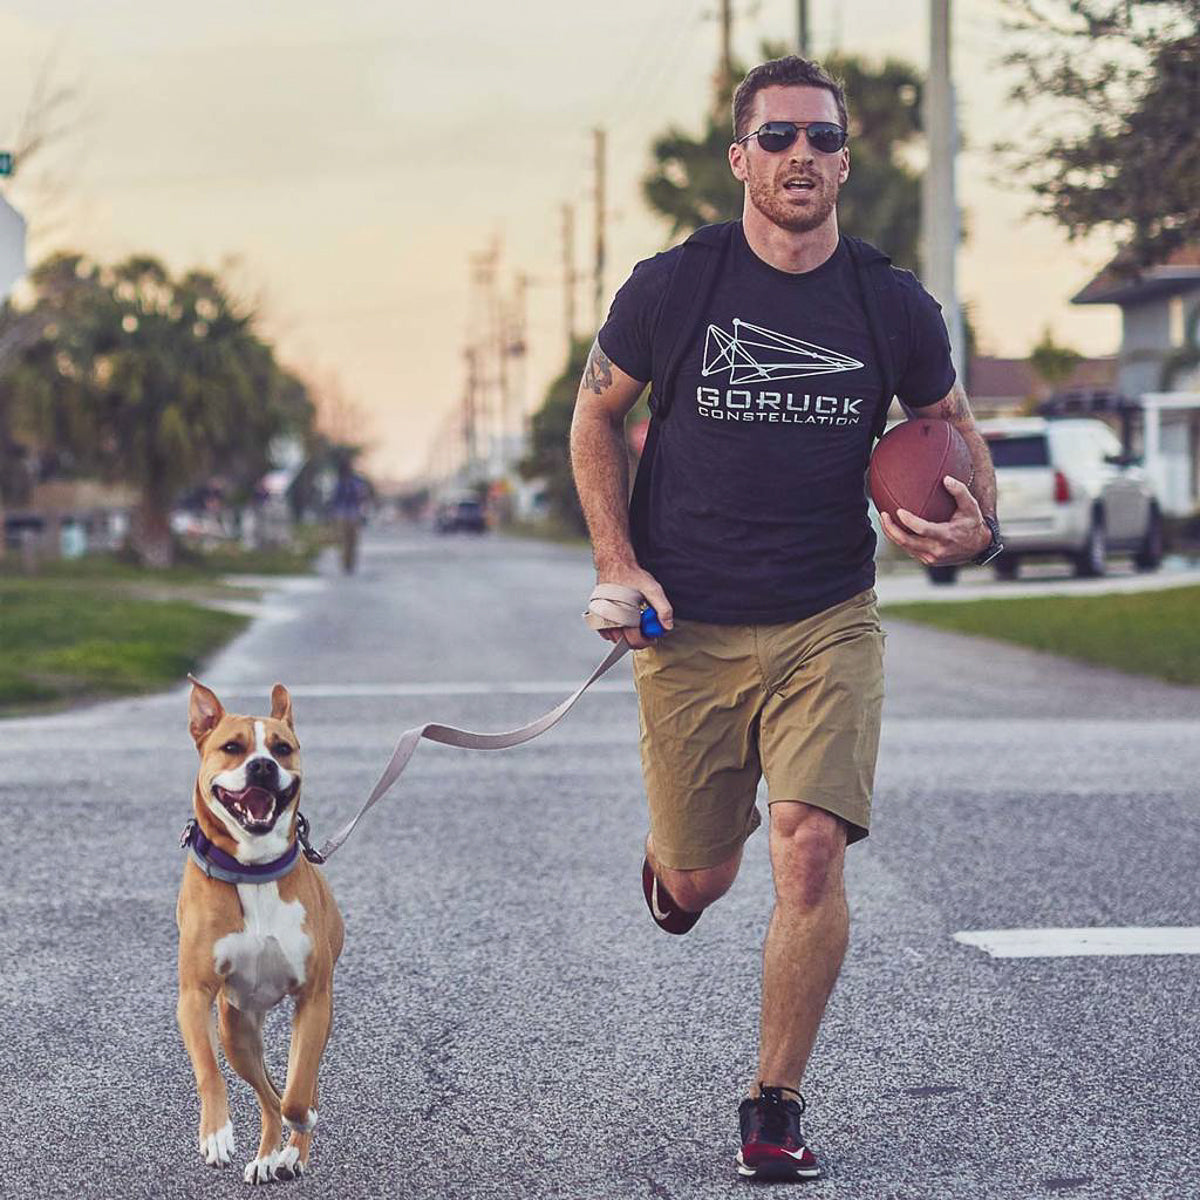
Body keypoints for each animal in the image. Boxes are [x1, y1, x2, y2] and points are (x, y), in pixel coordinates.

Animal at [180, 681, 345, 1185]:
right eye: (232, 747)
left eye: (281, 748)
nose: (262, 766)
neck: (253, 869)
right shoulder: (194, 995)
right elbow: (208, 1069)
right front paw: (216, 1134)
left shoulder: (313, 999)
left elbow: (298, 1090)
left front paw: (298, 1132)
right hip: (236, 1029)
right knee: (264, 1093)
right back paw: (269, 1153)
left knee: (290, 1089)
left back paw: (288, 1152)